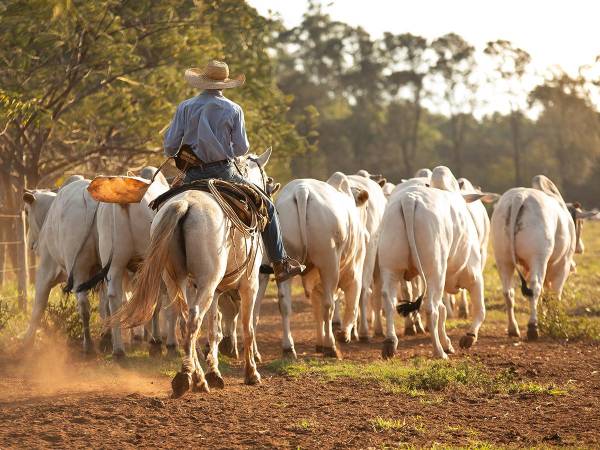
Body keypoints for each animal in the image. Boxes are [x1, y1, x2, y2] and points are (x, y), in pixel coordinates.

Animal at [22, 178, 102, 354]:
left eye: (26, 212)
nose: (30, 244)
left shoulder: (45, 270)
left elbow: (38, 307)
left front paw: (27, 342)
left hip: (79, 268)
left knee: (83, 305)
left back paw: (88, 346)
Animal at [380, 165, 492, 358]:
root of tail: (409, 200)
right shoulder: (474, 276)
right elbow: (480, 310)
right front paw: (468, 337)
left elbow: (444, 310)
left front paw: (448, 342)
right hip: (435, 272)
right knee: (430, 309)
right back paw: (439, 351)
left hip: (391, 268)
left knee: (390, 300)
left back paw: (390, 344)